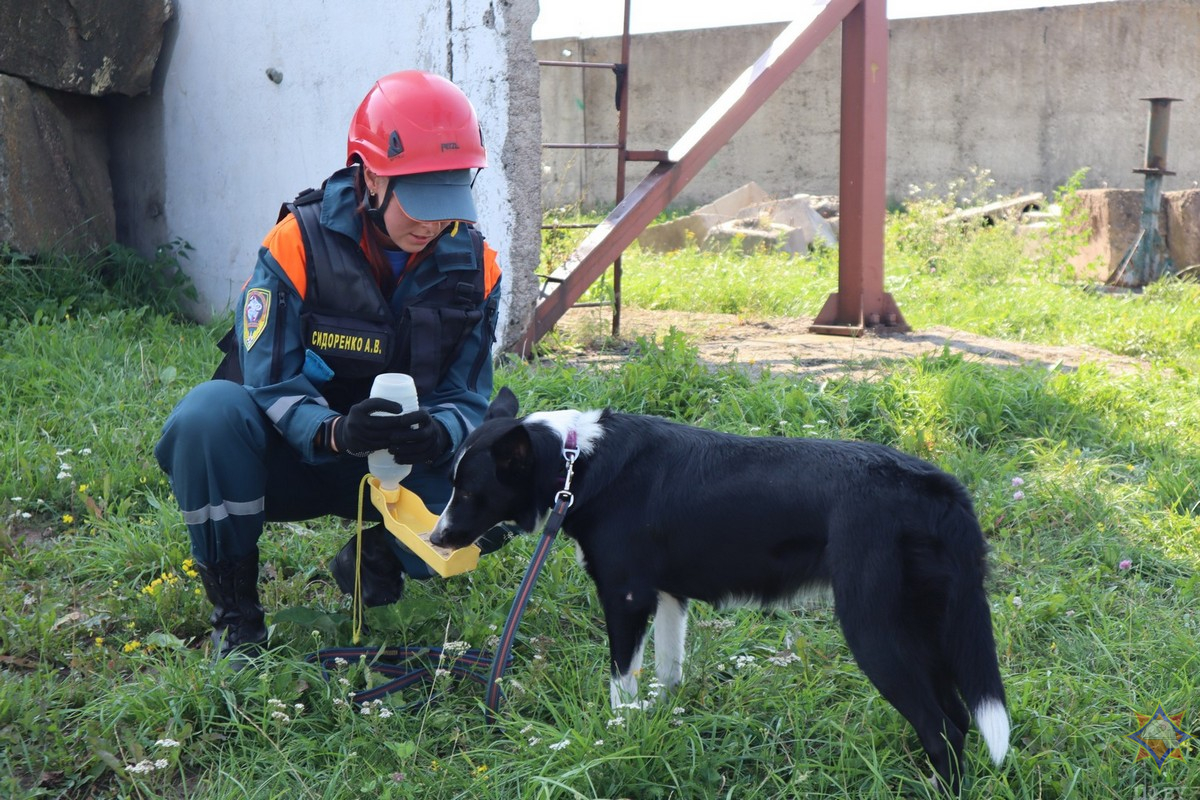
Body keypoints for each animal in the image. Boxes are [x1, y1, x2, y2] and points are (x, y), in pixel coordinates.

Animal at [427, 388, 1008, 796]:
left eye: (469, 492)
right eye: (453, 484)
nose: (434, 539)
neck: (578, 461)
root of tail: (937, 487)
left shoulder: (627, 597)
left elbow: (621, 683)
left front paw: (614, 738)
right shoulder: (666, 598)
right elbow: (667, 675)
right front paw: (654, 726)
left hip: (876, 632)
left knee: (943, 729)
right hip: (928, 630)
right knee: (959, 720)